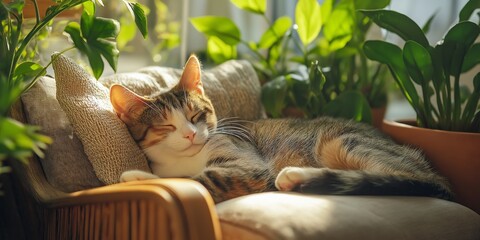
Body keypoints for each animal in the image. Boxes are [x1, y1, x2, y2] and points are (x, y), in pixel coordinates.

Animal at [109, 55, 454, 203]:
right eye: (167, 125)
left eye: (196, 115)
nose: (192, 134)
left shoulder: (247, 165)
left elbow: (201, 178)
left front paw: (137, 176)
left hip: (344, 142)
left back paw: (296, 177)